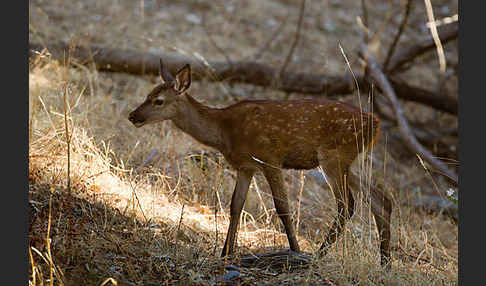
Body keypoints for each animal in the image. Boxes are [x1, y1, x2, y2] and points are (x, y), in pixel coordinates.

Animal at [127, 59, 392, 270]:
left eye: (159, 101)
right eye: (147, 95)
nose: (132, 115)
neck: (224, 131)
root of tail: (377, 125)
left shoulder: (269, 158)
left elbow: (283, 208)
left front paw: (294, 250)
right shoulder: (246, 166)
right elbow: (235, 206)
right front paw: (225, 253)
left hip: (334, 157)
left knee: (348, 204)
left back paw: (318, 255)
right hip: (349, 161)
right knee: (381, 198)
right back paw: (385, 263)